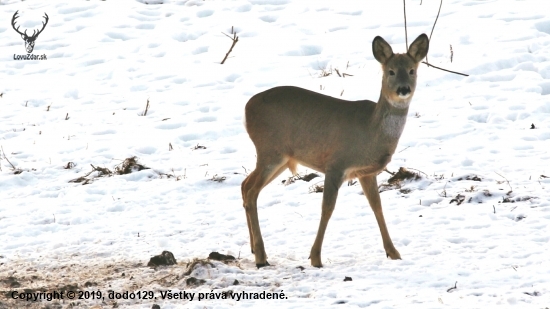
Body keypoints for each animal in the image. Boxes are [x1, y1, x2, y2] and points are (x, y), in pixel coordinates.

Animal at [243, 32, 432, 266]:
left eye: (412, 70)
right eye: (391, 71)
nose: (403, 89)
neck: (371, 130)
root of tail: (246, 109)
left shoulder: (365, 172)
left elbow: (376, 206)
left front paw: (394, 253)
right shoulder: (336, 164)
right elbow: (327, 208)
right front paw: (315, 258)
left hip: (280, 157)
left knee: (245, 185)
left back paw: (254, 249)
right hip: (270, 150)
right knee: (251, 191)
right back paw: (261, 256)